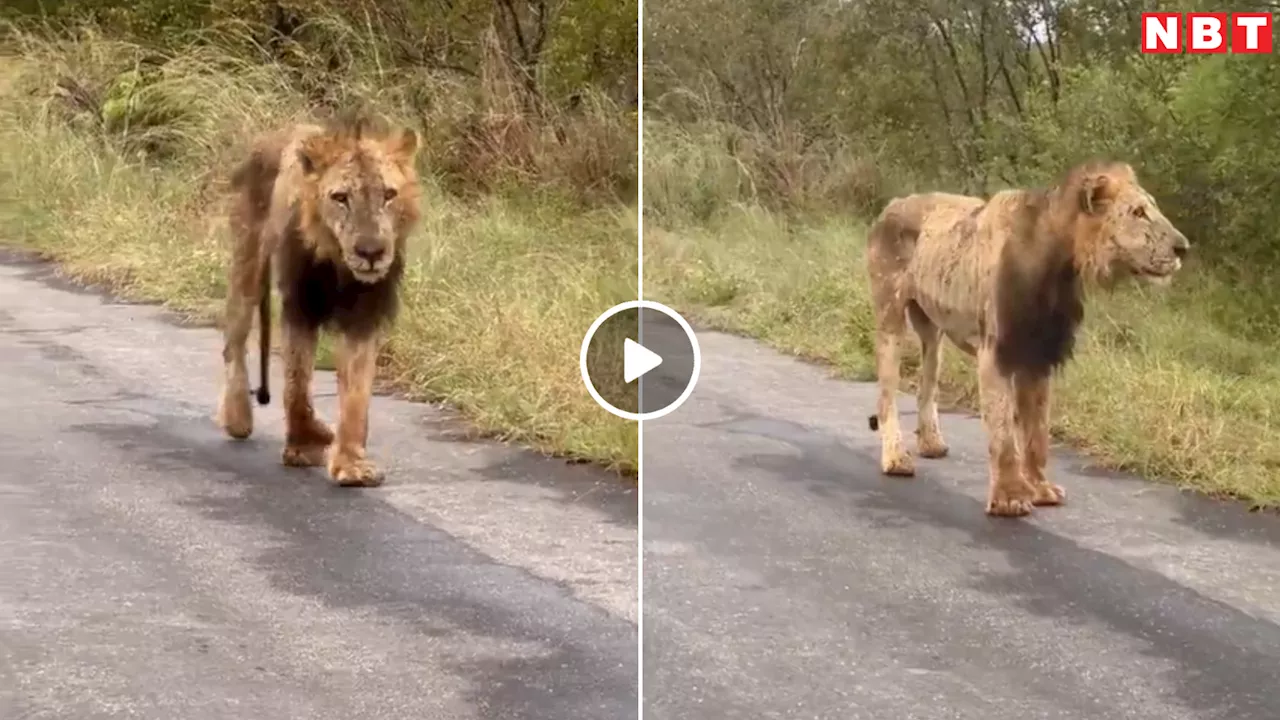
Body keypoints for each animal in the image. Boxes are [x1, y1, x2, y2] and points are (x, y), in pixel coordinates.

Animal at [215, 116, 422, 486]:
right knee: (233, 340)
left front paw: (351, 465)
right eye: (341, 198)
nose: (371, 252)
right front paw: (305, 445)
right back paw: (238, 416)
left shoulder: (365, 313)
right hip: (247, 258)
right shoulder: (301, 304)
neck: (339, 264)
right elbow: (296, 385)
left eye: (388, 195)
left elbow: (356, 391)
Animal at [865, 161, 1192, 515]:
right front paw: (1009, 499)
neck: (1060, 269)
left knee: (927, 385)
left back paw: (931, 443)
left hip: (931, 330)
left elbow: (1036, 433)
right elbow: (1004, 432)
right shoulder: (997, 351)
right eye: (1138, 212)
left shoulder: (1039, 354)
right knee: (886, 394)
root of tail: (892, 204)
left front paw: (1040, 489)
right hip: (890, 315)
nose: (1183, 248)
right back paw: (896, 459)